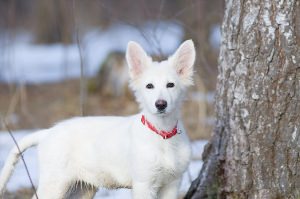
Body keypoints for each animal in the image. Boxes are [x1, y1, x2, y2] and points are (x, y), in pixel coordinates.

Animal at [0, 39, 196, 198]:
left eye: (171, 85)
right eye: (149, 86)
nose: (160, 104)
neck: (162, 134)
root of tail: (47, 132)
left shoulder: (172, 183)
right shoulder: (143, 184)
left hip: (82, 188)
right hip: (54, 184)